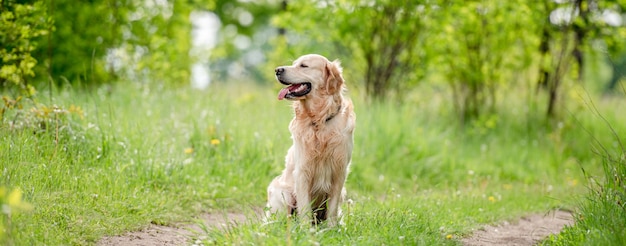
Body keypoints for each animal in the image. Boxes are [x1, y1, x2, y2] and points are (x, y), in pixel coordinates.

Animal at [264, 53, 356, 225]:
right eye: (294, 64)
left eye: (304, 66)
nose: (277, 70)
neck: (319, 121)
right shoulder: (302, 171)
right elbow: (305, 207)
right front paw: (306, 229)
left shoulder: (339, 171)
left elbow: (332, 208)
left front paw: (332, 228)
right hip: (283, 193)